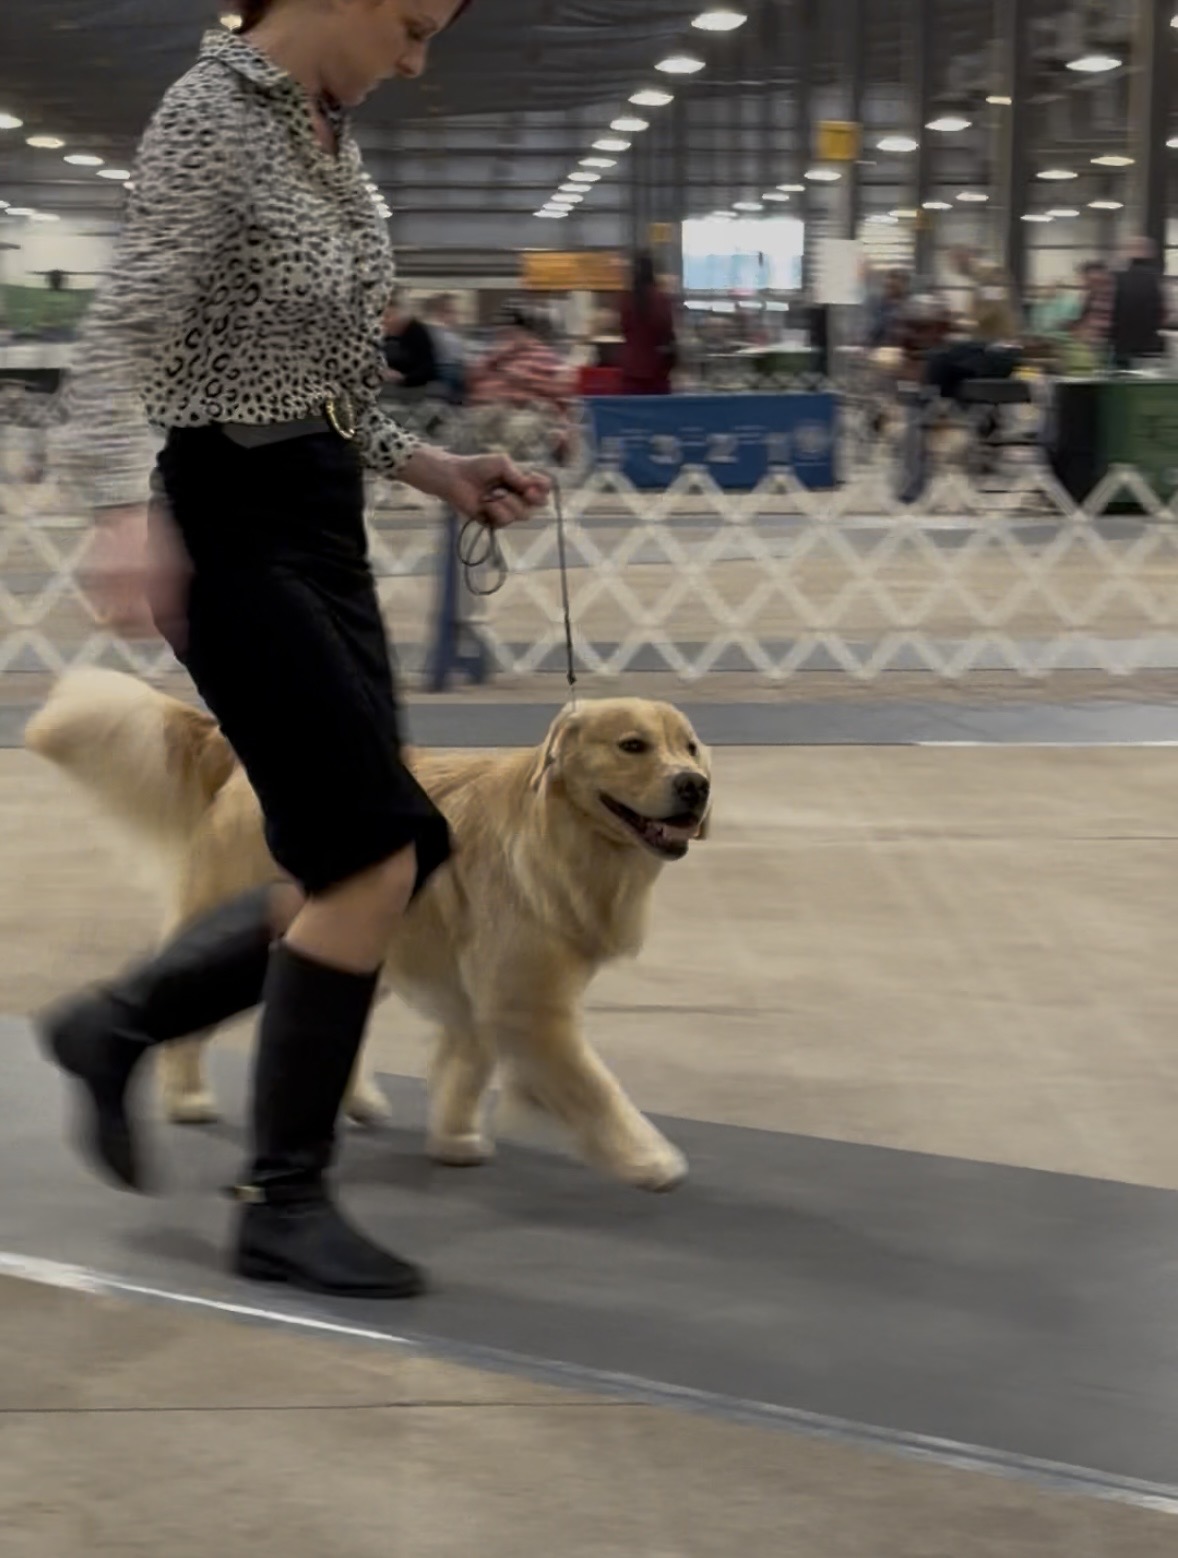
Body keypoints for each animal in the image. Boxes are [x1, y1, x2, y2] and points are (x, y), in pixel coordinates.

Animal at [26, 670, 712, 1192]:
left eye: (691, 747)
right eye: (632, 746)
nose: (695, 786)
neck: (562, 836)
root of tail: (239, 763)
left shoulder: (485, 993)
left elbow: (467, 1065)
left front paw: (455, 1137)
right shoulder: (529, 1004)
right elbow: (595, 1088)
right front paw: (648, 1159)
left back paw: (349, 1101)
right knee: (184, 1013)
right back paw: (183, 1096)